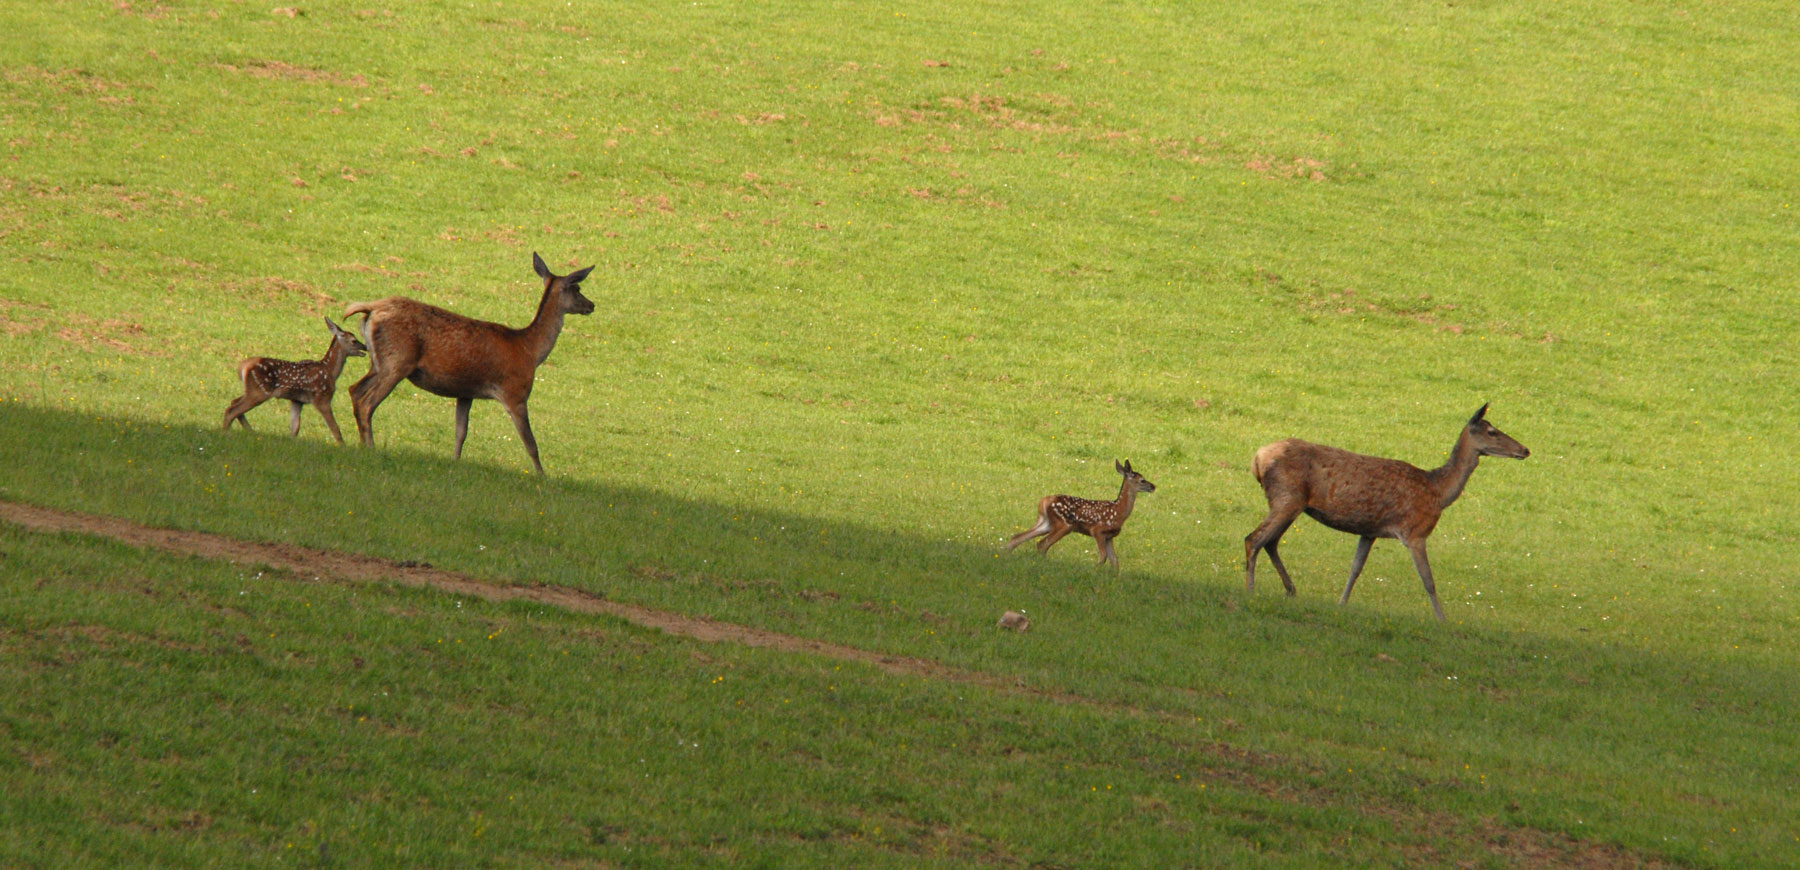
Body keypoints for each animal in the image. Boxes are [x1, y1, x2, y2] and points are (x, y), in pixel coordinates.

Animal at [221, 318, 365, 446]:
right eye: (354, 340)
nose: (365, 347)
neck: (330, 371)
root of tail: (242, 367)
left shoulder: (297, 400)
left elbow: (295, 428)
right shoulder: (322, 397)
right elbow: (335, 428)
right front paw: (344, 447)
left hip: (252, 390)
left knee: (233, 403)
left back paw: (250, 432)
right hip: (260, 390)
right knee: (231, 410)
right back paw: (227, 434)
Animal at [347, 252, 601, 475]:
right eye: (577, 288)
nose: (592, 305)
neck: (529, 351)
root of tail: (372, 308)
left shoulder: (465, 393)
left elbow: (461, 433)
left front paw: (456, 463)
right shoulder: (516, 394)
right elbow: (531, 443)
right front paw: (542, 475)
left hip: (378, 362)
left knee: (354, 390)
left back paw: (360, 445)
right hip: (397, 361)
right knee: (367, 402)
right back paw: (371, 447)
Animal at [1008, 459, 1159, 569]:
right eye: (1142, 480)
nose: (1153, 486)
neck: (1119, 512)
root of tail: (1044, 501)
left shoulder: (1110, 536)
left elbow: (1115, 560)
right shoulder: (1097, 530)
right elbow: (1103, 556)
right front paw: (1095, 571)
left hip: (1047, 523)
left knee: (1018, 537)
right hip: (1064, 524)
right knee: (1042, 543)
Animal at [1245, 405, 1526, 623]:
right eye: (1492, 431)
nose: (1525, 450)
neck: (1438, 492)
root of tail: (1258, 458)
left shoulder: (1370, 531)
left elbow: (1355, 569)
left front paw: (1341, 604)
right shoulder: (1415, 531)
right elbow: (1429, 580)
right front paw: (1443, 619)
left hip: (1291, 503)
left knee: (1270, 542)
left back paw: (1290, 590)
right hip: (1287, 498)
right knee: (1254, 539)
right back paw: (1251, 590)